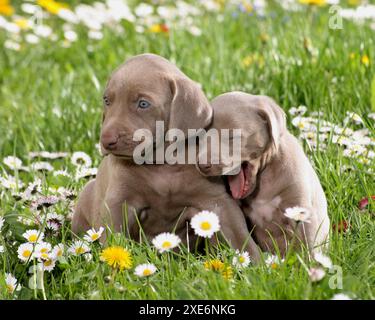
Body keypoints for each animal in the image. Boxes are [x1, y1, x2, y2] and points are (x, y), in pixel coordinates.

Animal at [72, 55, 262, 260]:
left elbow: (239, 235)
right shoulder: (119, 201)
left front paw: (256, 264)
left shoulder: (217, 200)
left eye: (143, 104)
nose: (107, 141)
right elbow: (113, 237)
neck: (162, 163)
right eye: (107, 100)